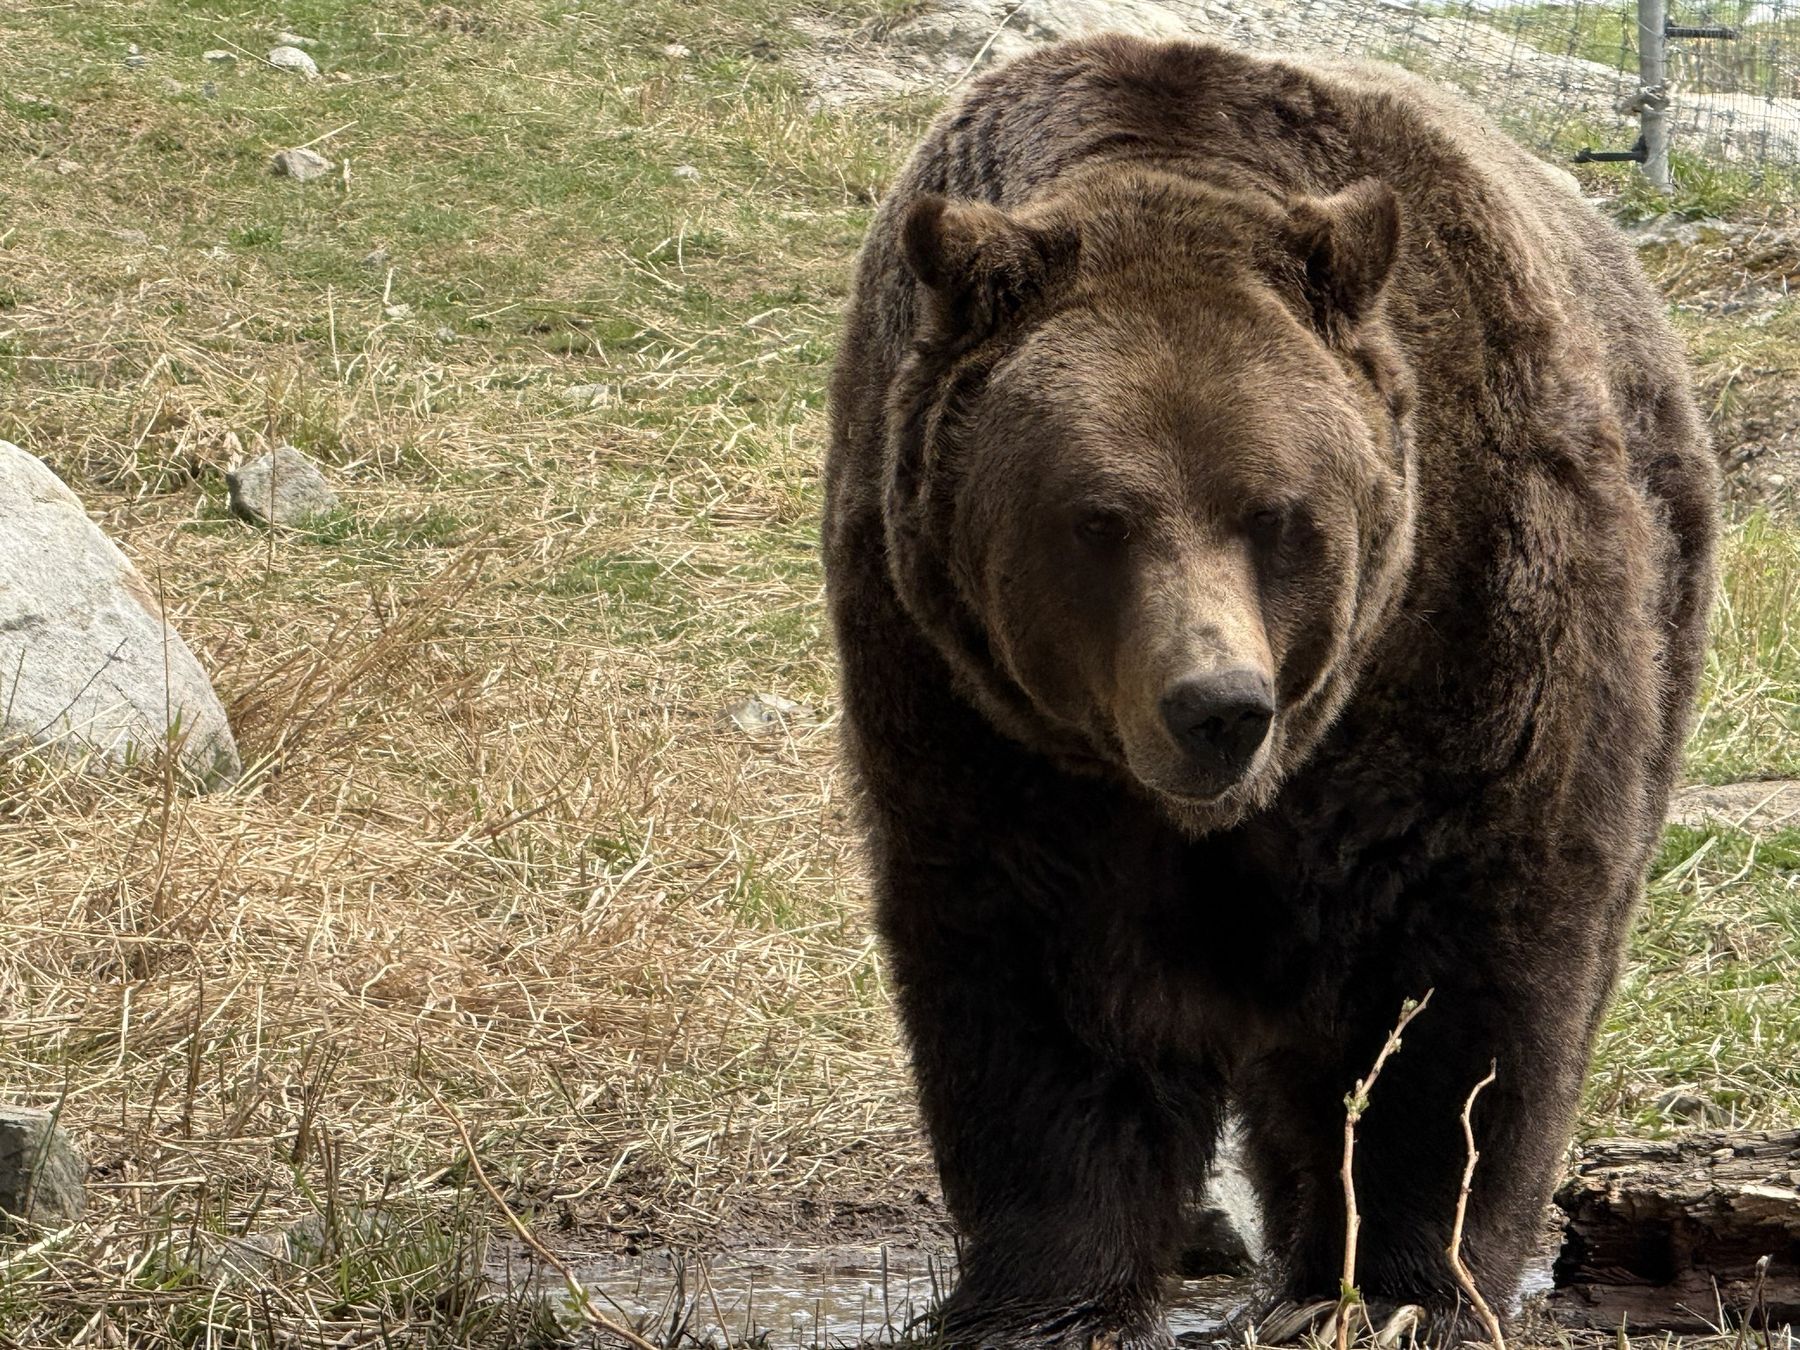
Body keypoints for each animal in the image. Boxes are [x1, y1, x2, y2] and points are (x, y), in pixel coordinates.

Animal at [821, 33, 1718, 1349]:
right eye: (1099, 519)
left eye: (1277, 514)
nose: (1217, 706)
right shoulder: (973, 710)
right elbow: (1036, 988)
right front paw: (1040, 1295)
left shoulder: (1462, 646)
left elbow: (1460, 987)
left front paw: (1408, 1280)